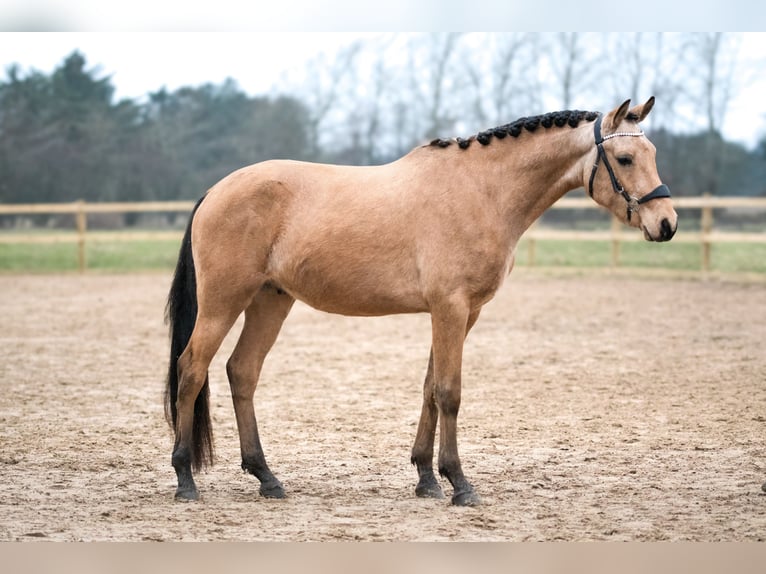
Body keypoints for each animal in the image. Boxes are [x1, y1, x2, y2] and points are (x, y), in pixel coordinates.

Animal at [164, 99, 680, 508]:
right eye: (625, 157)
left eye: (653, 154)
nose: (667, 223)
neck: (483, 190)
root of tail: (215, 192)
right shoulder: (450, 308)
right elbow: (450, 393)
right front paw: (460, 484)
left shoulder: (462, 313)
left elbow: (430, 388)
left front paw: (427, 479)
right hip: (224, 301)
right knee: (192, 369)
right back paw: (186, 479)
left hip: (271, 300)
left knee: (242, 372)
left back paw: (267, 478)